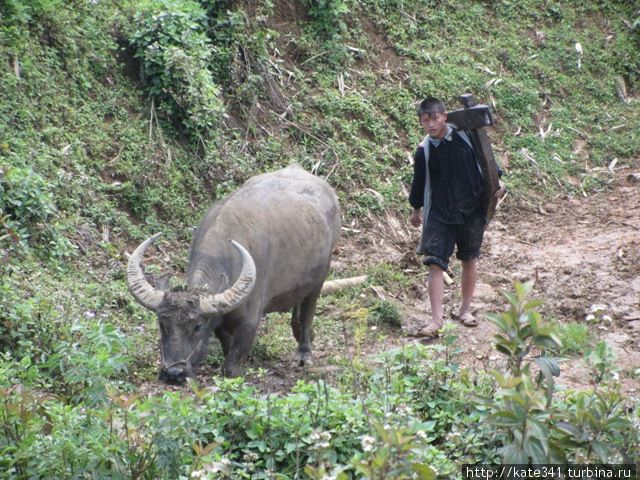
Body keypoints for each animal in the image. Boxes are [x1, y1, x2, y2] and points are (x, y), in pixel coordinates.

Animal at [127, 165, 342, 382]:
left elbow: (231, 365)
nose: (173, 373)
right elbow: (225, 342)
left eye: (197, 327)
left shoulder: (250, 320)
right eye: (162, 324)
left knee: (308, 311)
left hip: (319, 279)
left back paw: (304, 353)